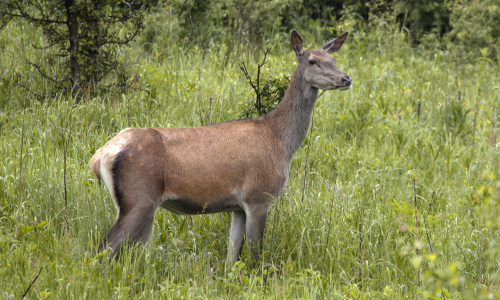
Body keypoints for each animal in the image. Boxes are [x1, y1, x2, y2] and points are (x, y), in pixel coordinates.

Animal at [92, 29, 354, 264]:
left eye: (333, 59)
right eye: (312, 60)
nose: (346, 78)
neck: (281, 141)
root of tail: (100, 156)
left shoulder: (237, 207)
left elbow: (232, 256)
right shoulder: (258, 195)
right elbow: (255, 255)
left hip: (143, 205)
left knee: (135, 254)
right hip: (139, 198)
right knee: (103, 250)